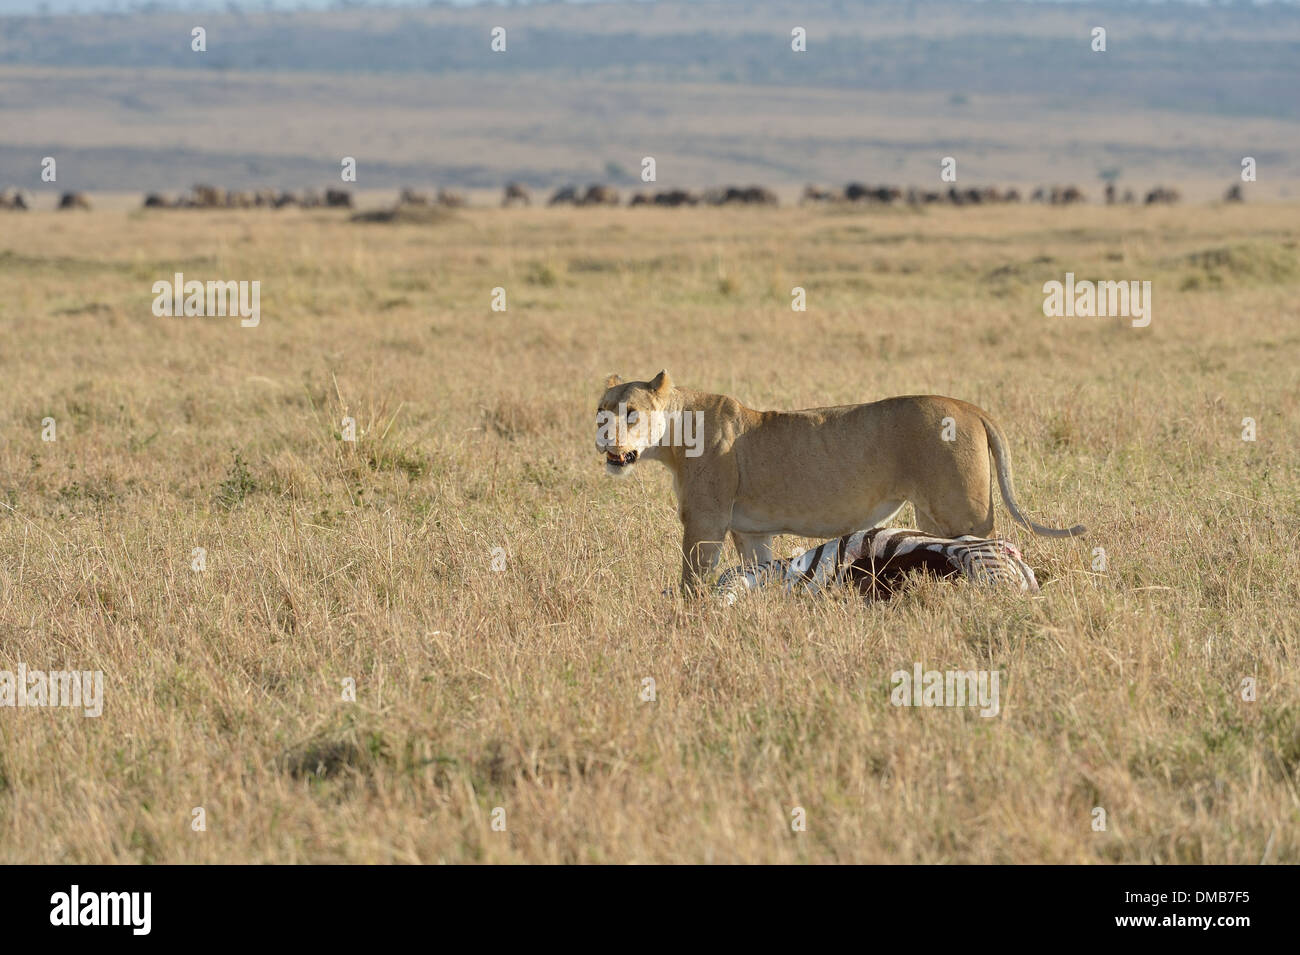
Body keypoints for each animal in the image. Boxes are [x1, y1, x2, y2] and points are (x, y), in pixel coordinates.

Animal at [595, 371, 1085, 592]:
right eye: (602, 411)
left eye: (631, 413)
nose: (604, 438)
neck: (674, 436)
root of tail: (971, 407)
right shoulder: (750, 531)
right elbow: (756, 569)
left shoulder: (705, 522)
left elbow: (692, 580)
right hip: (932, 513)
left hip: (963, 511)